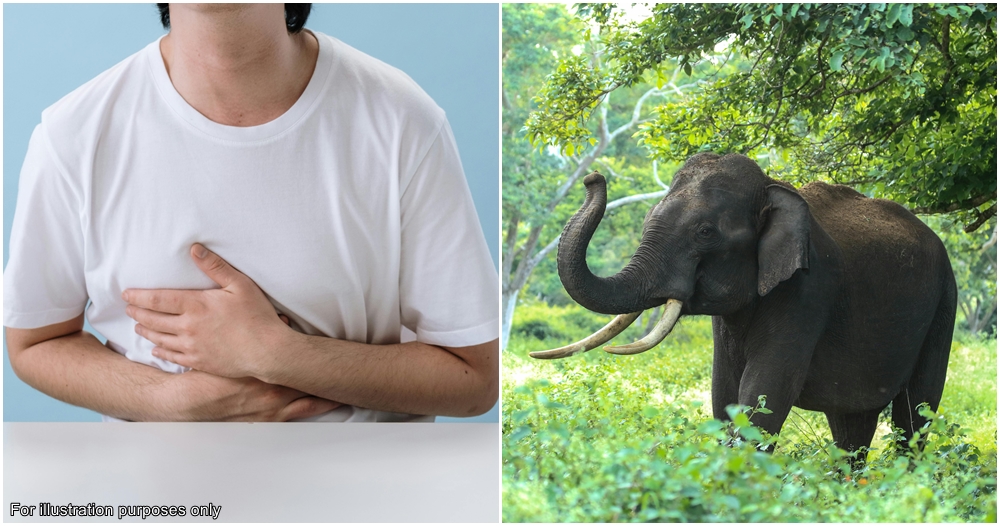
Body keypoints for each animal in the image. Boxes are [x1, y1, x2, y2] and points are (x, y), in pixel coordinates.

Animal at [531, 152, 956, 457]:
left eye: (705, 232)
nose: (592, 177)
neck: (772, 187)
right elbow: (724, 395)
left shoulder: (808, 290)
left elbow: (764, 394)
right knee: (852, 425)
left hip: (944, 304)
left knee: (915, 415)